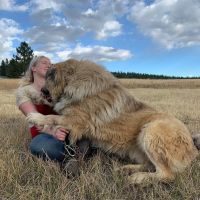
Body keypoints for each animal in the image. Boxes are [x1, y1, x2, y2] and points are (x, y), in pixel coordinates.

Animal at [27, 59, 198, 184]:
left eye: (50, 76)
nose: (43, 90)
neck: (74, 81)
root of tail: (193, 147)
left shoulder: (74, 121)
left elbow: (52, 117)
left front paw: (35, 117)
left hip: (151, 131)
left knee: (167, 174)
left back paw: (138, 178)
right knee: (150, 165)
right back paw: (127, 169)